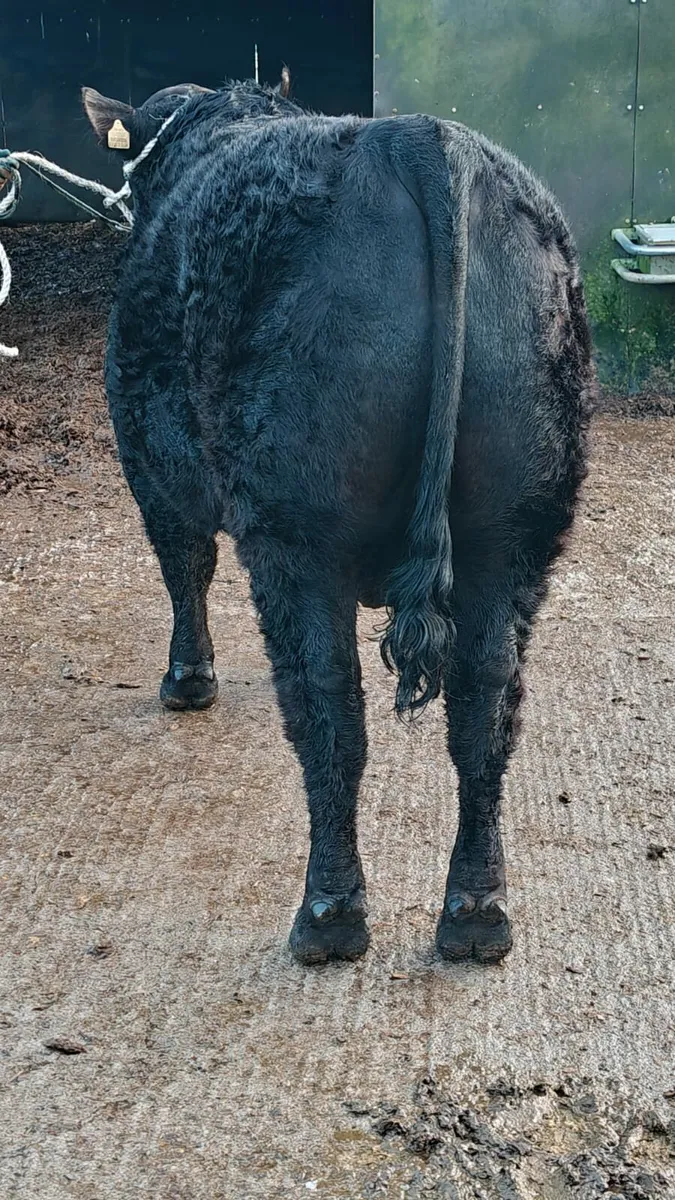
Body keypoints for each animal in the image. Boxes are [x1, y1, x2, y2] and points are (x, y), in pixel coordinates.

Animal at [82, 74, 592, 968]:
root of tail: (417, 137)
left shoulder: (150, 459)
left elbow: (183, 565)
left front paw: (187, 681)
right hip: (520, 522)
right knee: (485, 701)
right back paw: (475, 910)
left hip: (297, 530)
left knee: (328, 704)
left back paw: (328, 913)